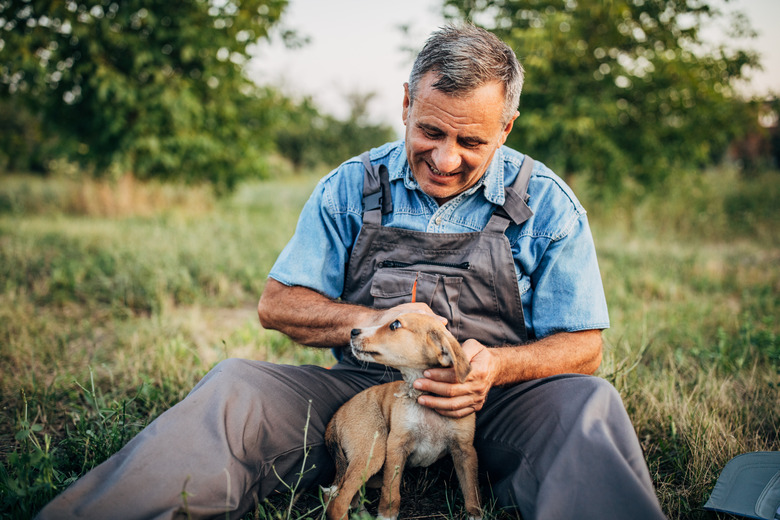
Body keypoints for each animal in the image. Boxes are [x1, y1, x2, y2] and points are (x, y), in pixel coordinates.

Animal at [320, 312, 478, 520]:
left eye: (395, 325)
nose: (353, 331)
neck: (423, 398)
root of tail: (337, 413)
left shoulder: (465, 451)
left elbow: (471, 492)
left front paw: (476, 514)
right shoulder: (396, 446)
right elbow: (391, 492)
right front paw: (386, 516)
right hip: (373, 451)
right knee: (338, 502)